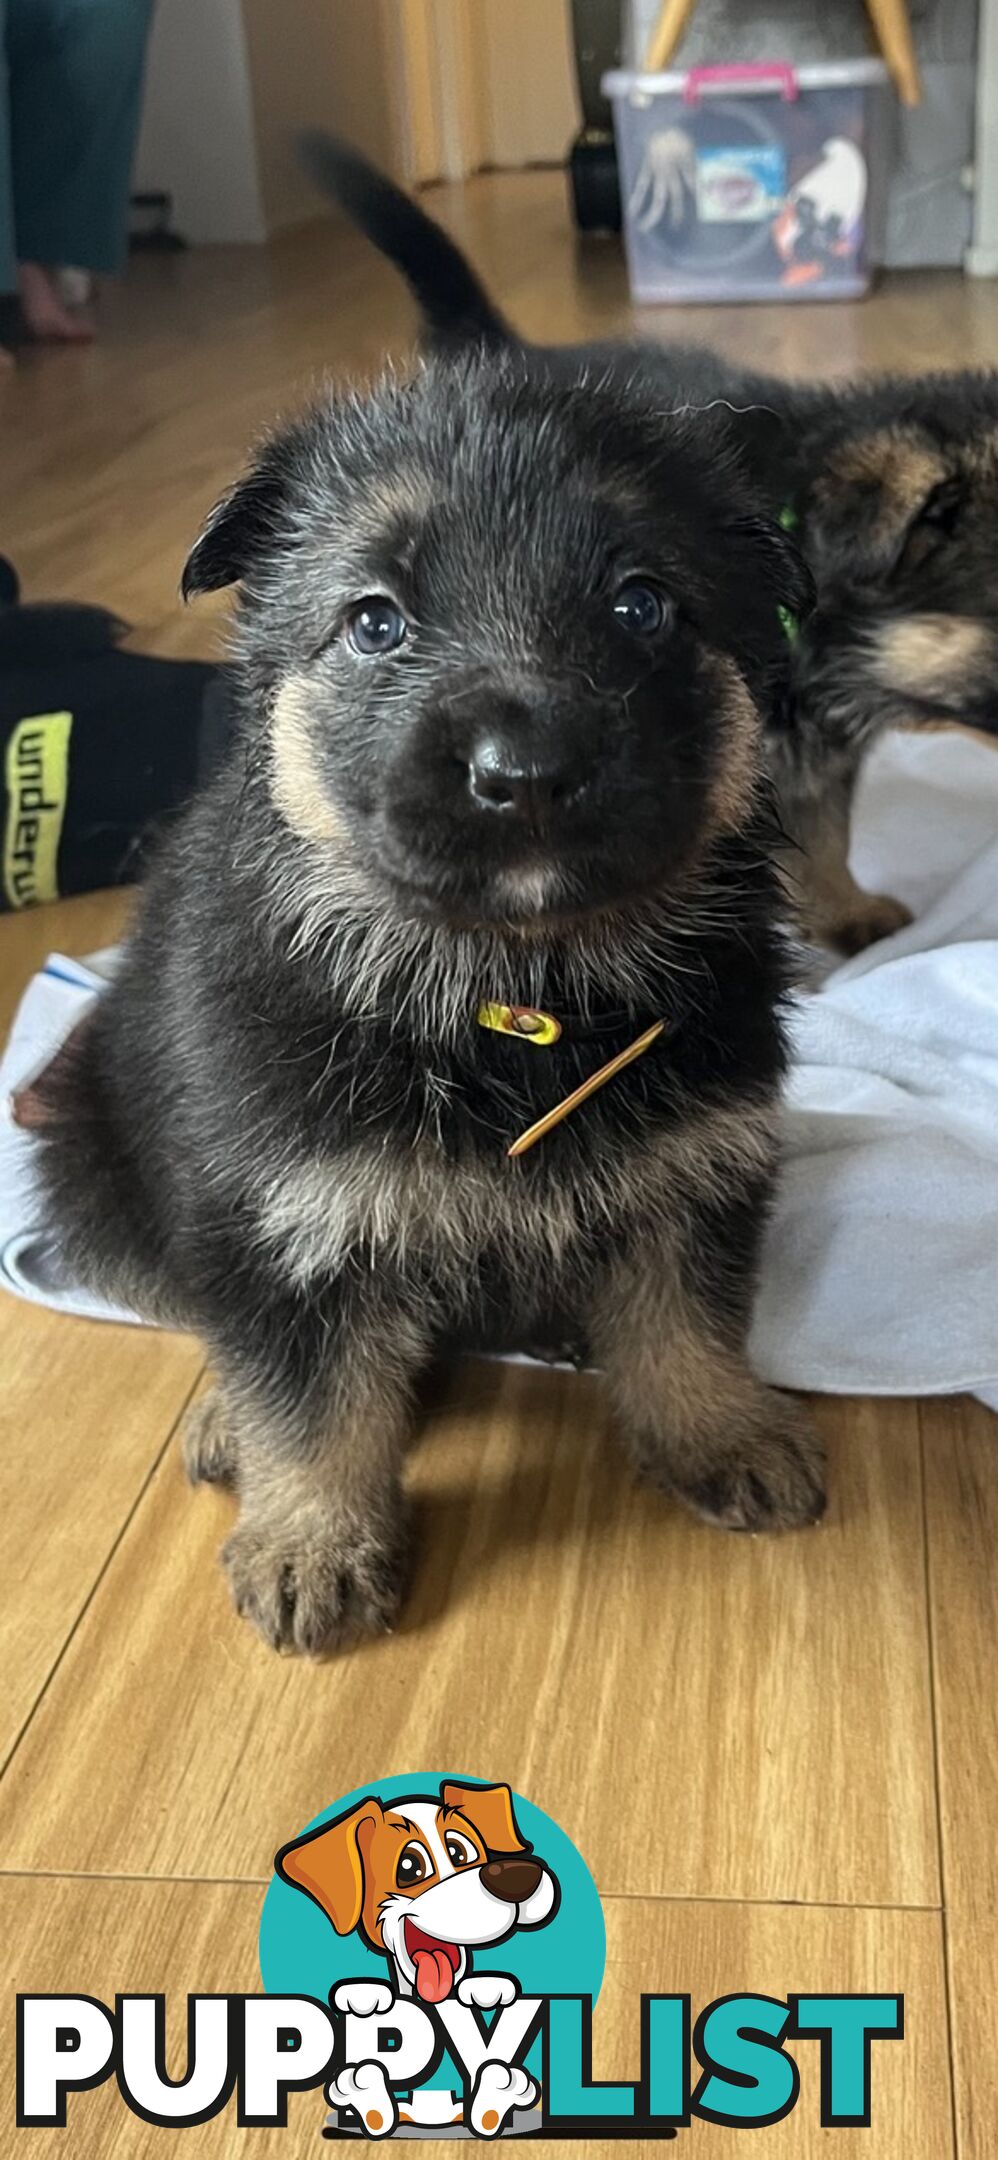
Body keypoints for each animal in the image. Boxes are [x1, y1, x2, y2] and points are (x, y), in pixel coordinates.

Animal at [33, 143, 825, 1650]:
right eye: (376, 621)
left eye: (642, 605)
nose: (523, 775)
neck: (508, 988)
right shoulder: (280, 1214)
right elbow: (308, 1396)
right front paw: (311, 1541)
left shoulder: (697, 1166)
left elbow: (684, 1323)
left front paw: (722, 1434)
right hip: (95, 1158)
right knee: (198, 1316)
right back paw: (219, 1420)